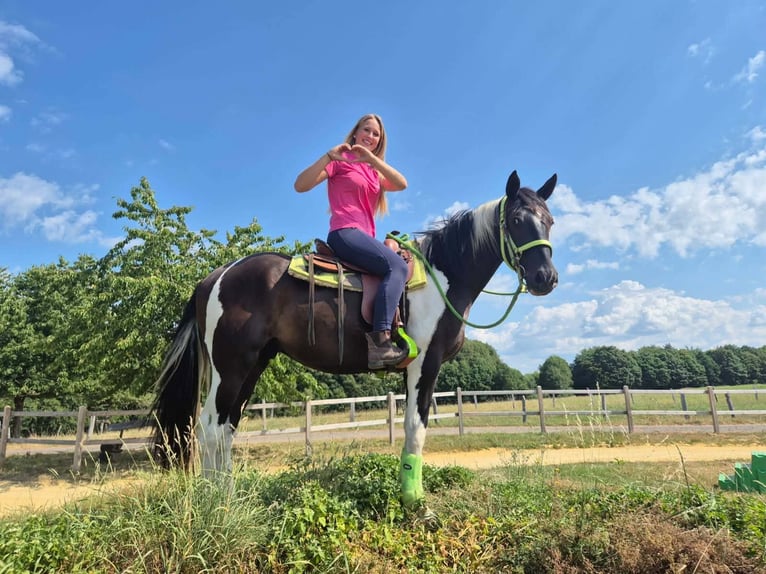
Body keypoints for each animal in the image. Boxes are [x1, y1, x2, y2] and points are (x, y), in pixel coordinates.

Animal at [152, 169, 558, 511]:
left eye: (550, 221)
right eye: (517, 220)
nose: (546, 277)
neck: (441, 278)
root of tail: (215, 276)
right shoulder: (425, 364)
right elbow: (416, 429)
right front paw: (416, 505)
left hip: (253, 365)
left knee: (225, 428)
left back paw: (228, 500)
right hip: (231, 367)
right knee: (208, 428)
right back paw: (215, 505)